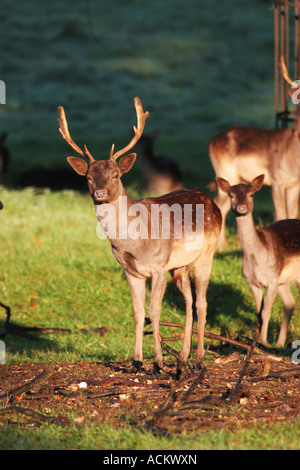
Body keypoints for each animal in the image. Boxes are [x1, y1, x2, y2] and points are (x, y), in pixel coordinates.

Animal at [58, 98, 223, 370]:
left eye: (116, 175)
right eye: (89, 177)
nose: (100, 193)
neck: (132, 242)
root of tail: (212, 201)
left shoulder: (158, 266)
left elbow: (155, 311)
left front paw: (158, 362)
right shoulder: (130, 271)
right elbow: (138, 312)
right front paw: (136, 361)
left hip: (206, 254)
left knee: (202, 302)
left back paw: (199, 359)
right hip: (180, 267)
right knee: (189, 302)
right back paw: (183, 356)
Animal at [216, 174, 300, 346]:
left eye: (251, 194)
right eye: (231, 195)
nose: (241, 208)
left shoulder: (272, 279)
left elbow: (266, 311)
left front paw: (263, 343)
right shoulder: (253, 282)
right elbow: (259, 313)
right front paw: (258, 343)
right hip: (283, 281)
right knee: (290, 302)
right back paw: (280, 343)